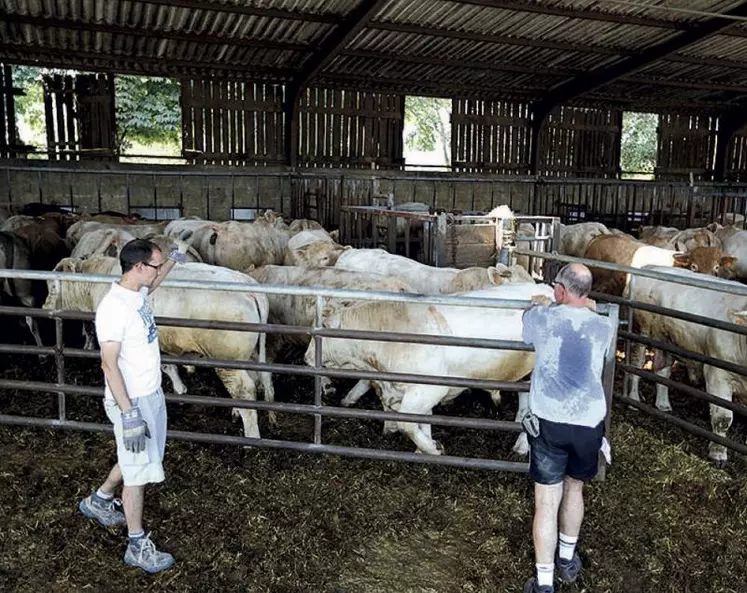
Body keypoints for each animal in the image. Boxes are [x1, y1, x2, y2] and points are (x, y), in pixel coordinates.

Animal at [304, 282, 556, 454]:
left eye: (322, 330)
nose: (306, 358)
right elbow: (422, 420)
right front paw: (423, 447)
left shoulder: (429, 389)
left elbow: (407, 424)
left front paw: (433, 449)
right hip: (523, 375)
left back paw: (523, 446)